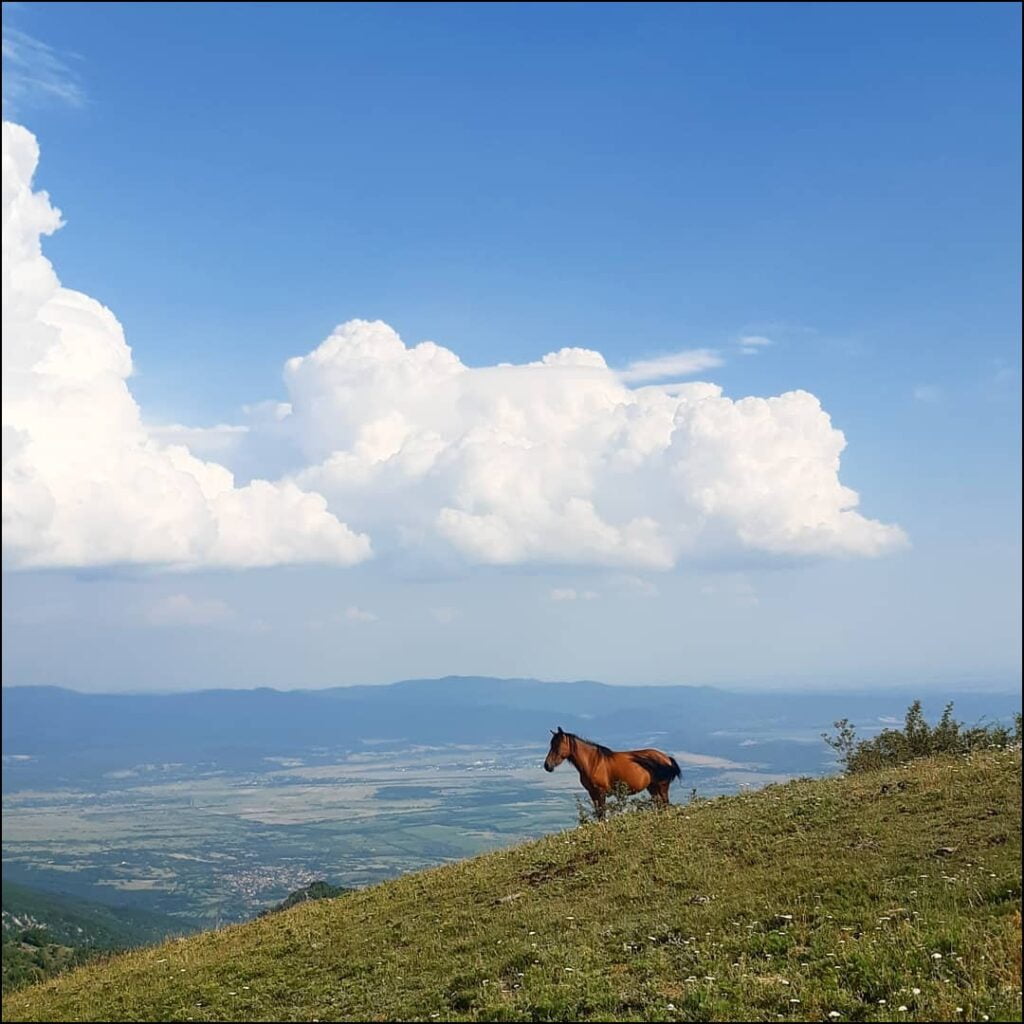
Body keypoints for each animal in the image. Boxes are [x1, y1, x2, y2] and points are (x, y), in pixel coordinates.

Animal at [544, 724, 679, 819]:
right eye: (551, 744)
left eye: (557, 745)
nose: (547, 766)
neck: (592, 762)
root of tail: (666, 758)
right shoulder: (592, 793)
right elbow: (599, 814)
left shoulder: (601, 792)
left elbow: (602, 813)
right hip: (652, 788)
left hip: (662, 787)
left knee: (665, 805)